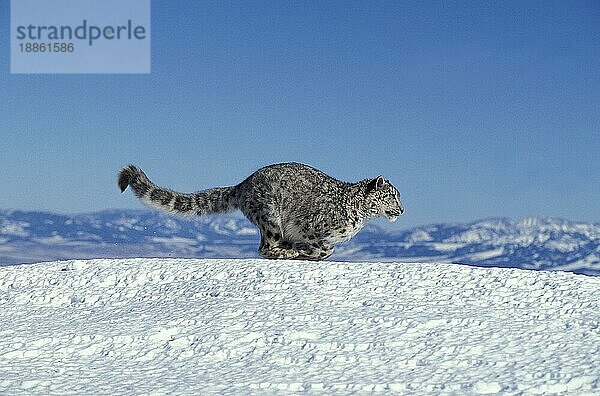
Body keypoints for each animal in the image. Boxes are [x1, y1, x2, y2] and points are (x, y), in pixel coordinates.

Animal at [118, 162, 404, 262]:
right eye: (392, 195)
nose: (402, 209)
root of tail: (244, 183)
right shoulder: (311, 228)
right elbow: (324, 248)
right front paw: (302, 251)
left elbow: (326, 250)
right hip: (270, 218)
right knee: (265, 247)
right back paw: (286, 252)